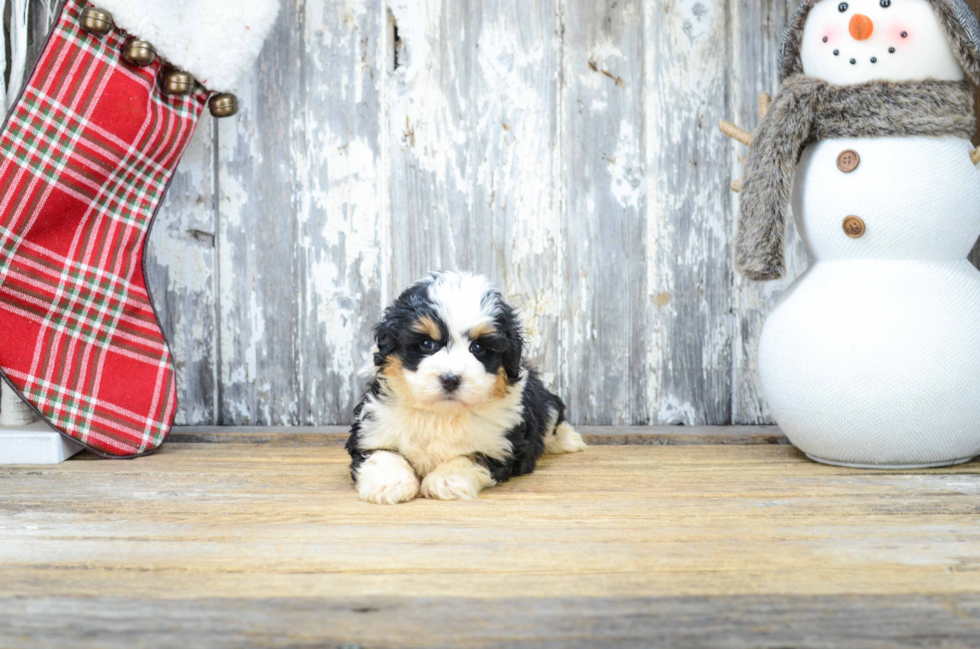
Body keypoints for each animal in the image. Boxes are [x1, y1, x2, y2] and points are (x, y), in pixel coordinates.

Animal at [348, 270, 584, 504]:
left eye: (478, 347)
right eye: (426, 344)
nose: (451, 379)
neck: (442, 415)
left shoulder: (502, 446)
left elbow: (468, 457)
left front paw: (445, 481)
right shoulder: (372, 426)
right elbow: (383, 453)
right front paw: (389, 482)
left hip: (544, 401)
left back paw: (568, 441)